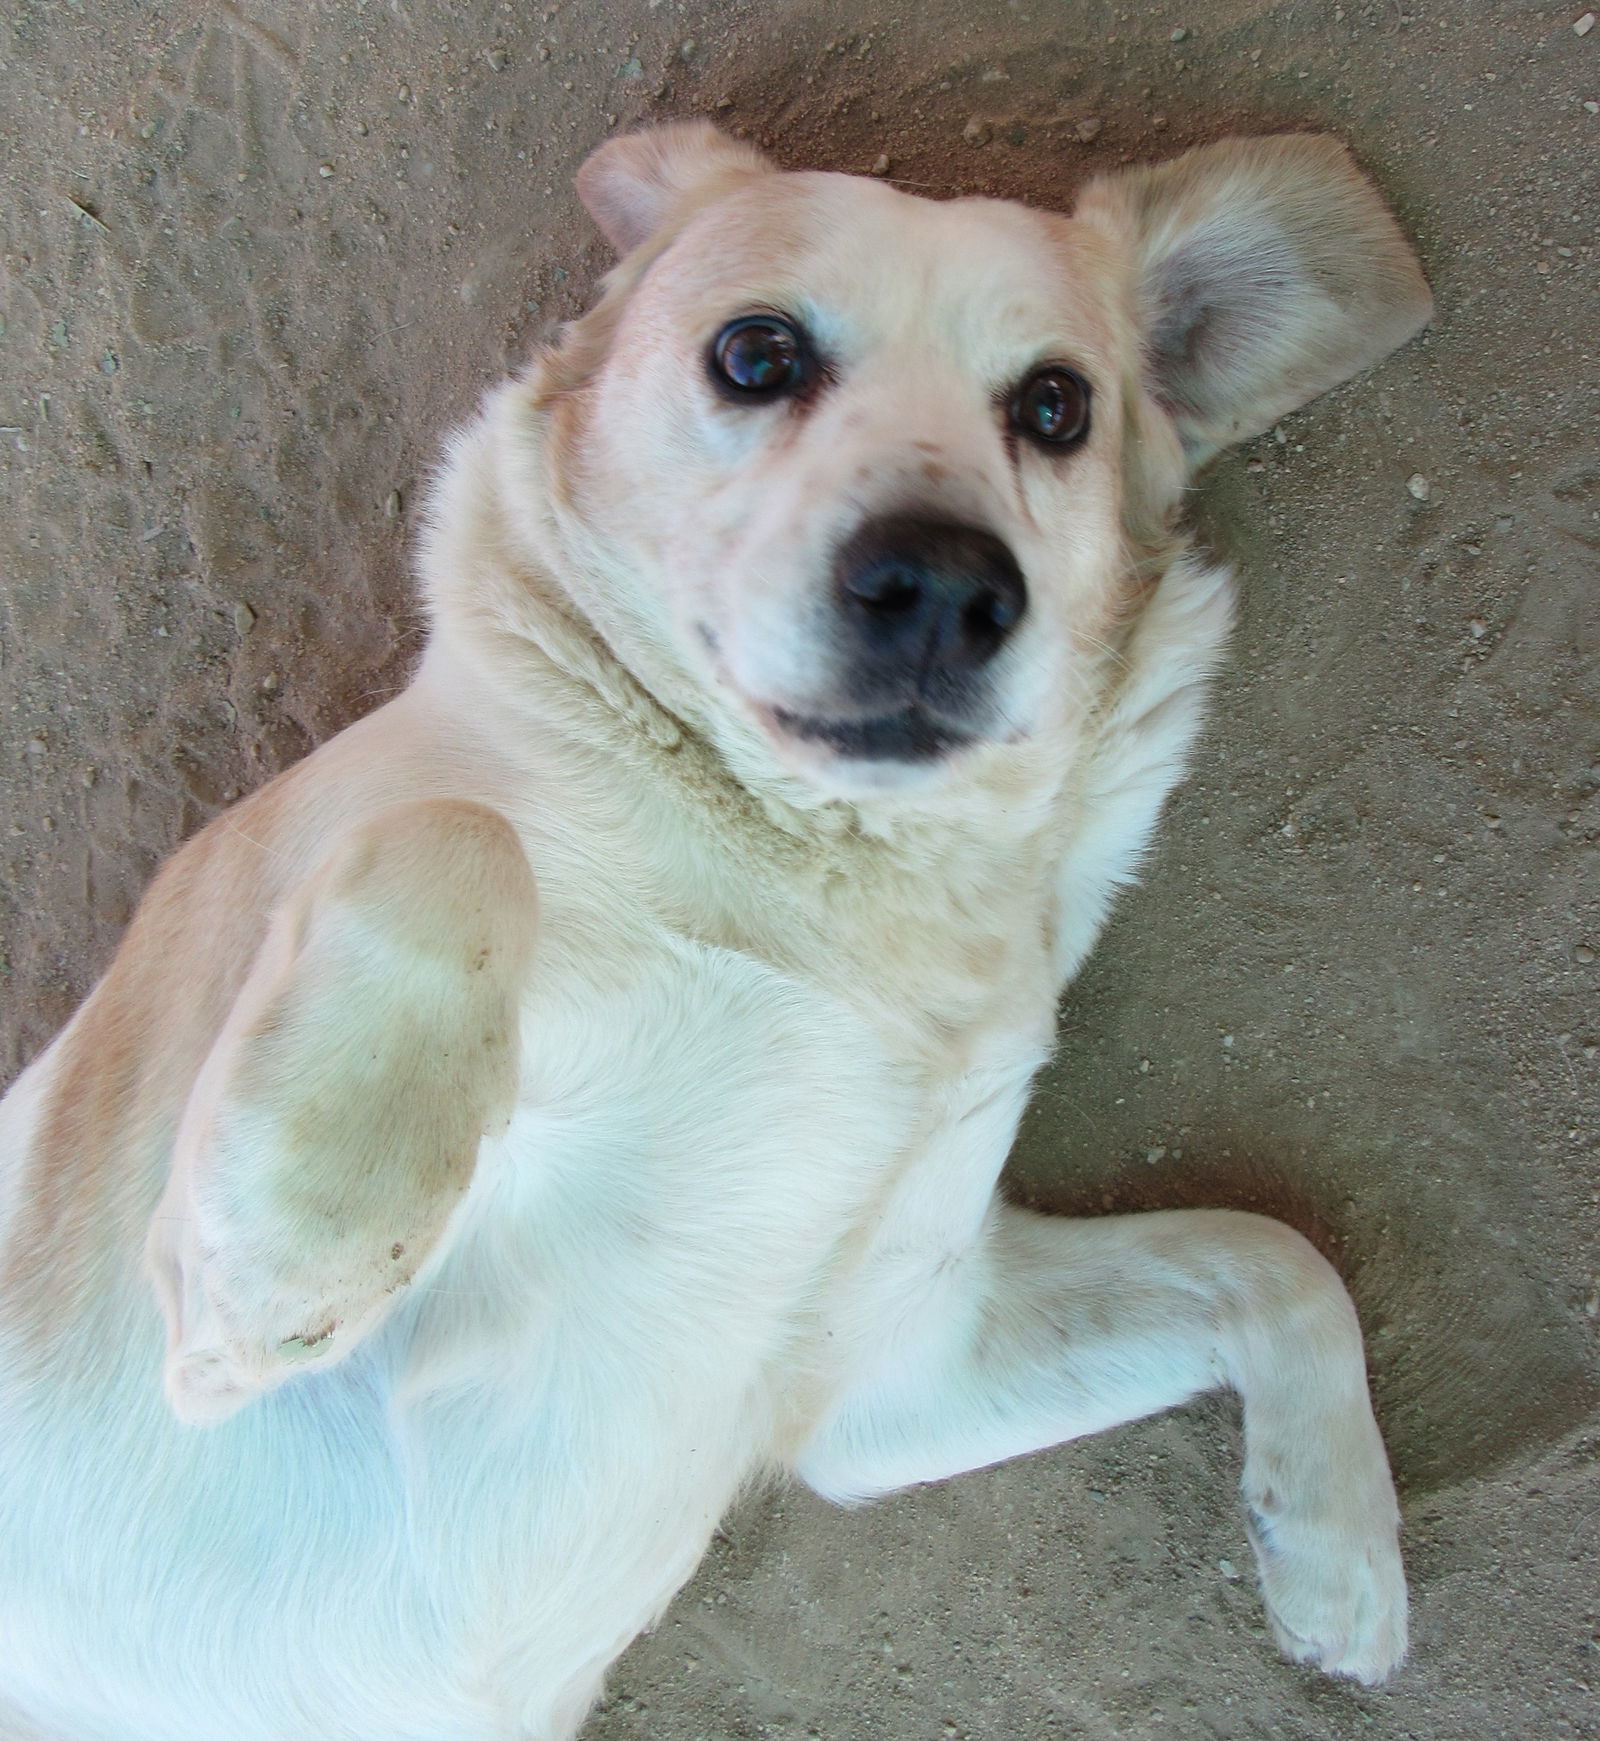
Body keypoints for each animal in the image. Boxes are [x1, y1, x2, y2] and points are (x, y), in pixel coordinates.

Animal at [0, 126, 1427, 1741]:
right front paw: (294, 1253)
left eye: (1056, 406)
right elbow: (459, 837)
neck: (839, 895)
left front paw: (1340, 1556)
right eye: (757, 354)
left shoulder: (895, 1366)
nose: (946, 584)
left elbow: (1277, 1256)